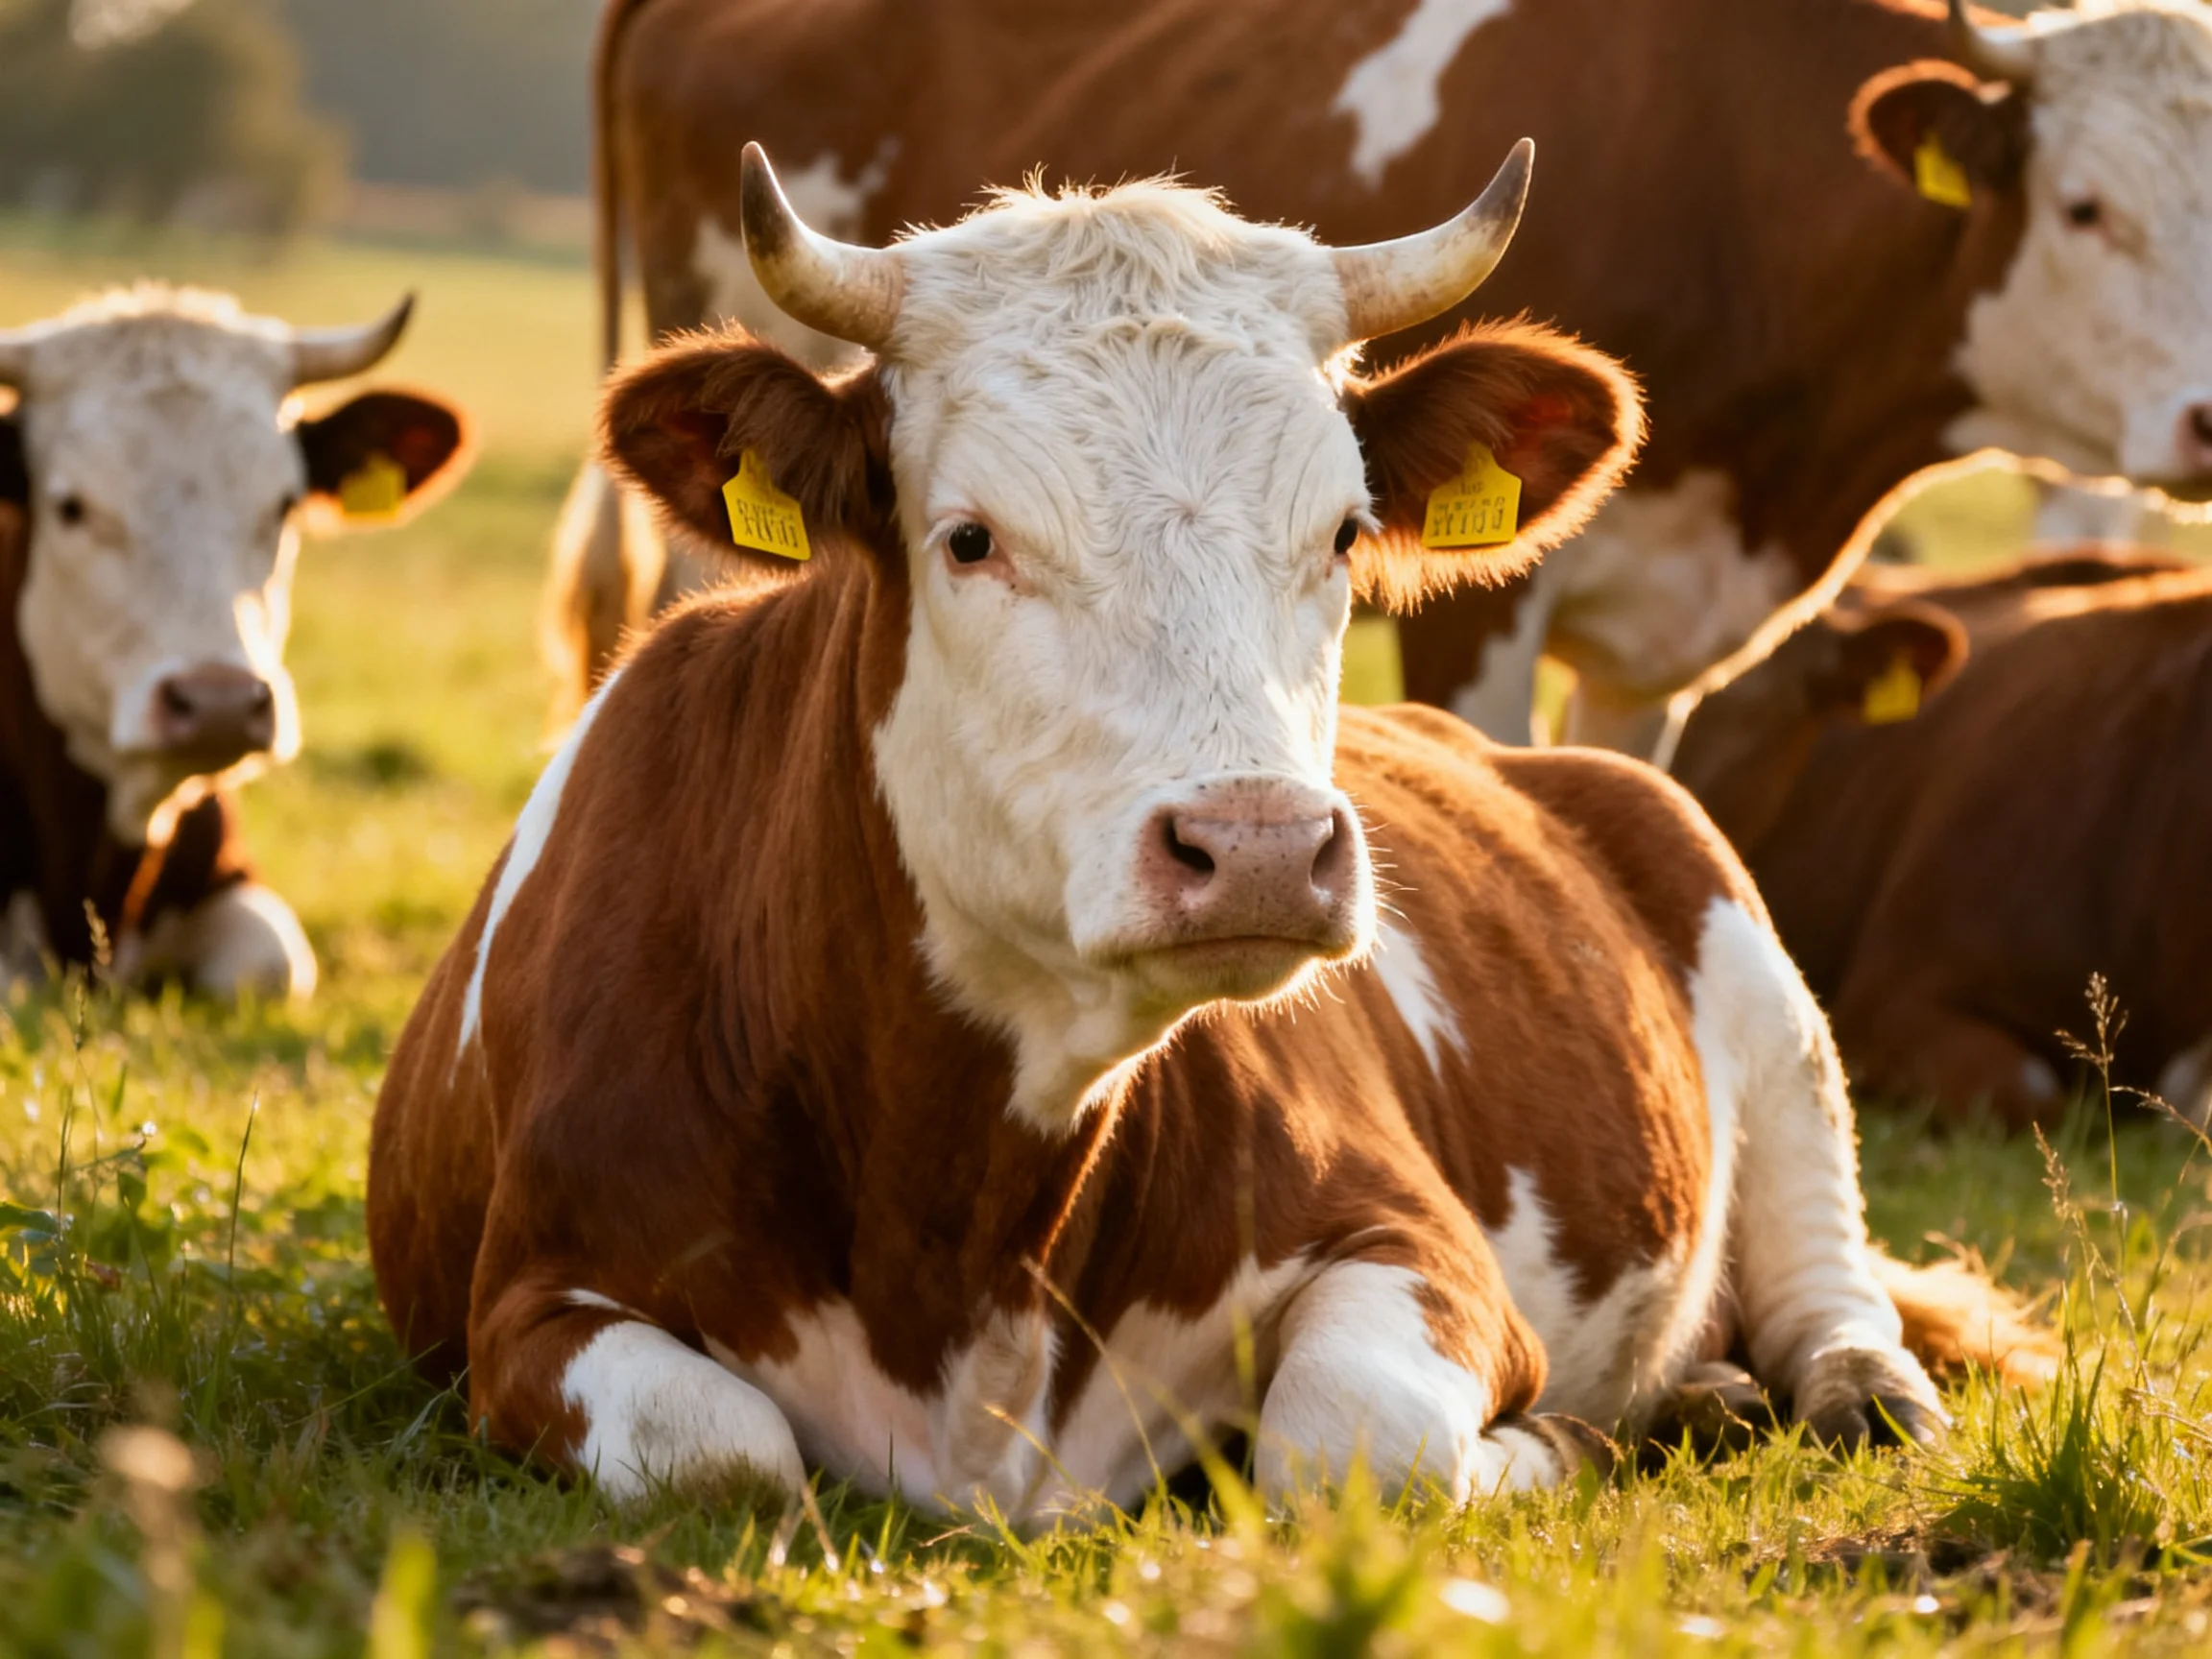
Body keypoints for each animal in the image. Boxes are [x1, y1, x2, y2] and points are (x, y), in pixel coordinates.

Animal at [375, 150, 2047, 1516]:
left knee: (1832, 1286)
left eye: (1344, 533)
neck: (961, 1219)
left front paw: (1567, 1438)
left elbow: (1353, 1444)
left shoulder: (1418, 1244)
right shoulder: (528, 1302)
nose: (1255, 845)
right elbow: (716, 1457)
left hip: (1762, 984)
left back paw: (1832, 1390)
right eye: (970, 538)